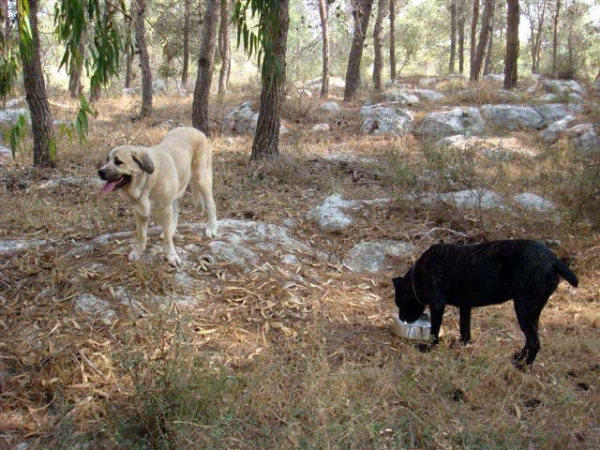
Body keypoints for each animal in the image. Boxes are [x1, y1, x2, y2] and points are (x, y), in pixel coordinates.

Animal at [98, 126, 218, 266]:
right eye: (107, 160)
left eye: (118, 162)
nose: (100, 171)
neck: (147, 180)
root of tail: (195, 129)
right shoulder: (139, 211)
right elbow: (141, 235)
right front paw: (138, 251)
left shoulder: (164, 208)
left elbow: (167, 239)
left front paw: (171, 255)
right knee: (176, 210)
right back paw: (172, 230)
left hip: (201, 179)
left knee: (210, 204)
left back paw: (212, 227)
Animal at [392, 239, 580, 366]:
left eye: (399, 303)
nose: (403, 318)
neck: (418, 275)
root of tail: (553, 260)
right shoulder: (465, 306)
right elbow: (465, 330)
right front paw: (461, 344)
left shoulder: (437, 305)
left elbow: (434, 331)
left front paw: (428, 347)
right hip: (531, 312)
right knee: (530, 340)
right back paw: (518, 359)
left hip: (523, 309)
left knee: (534, 342)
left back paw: (522, 366)